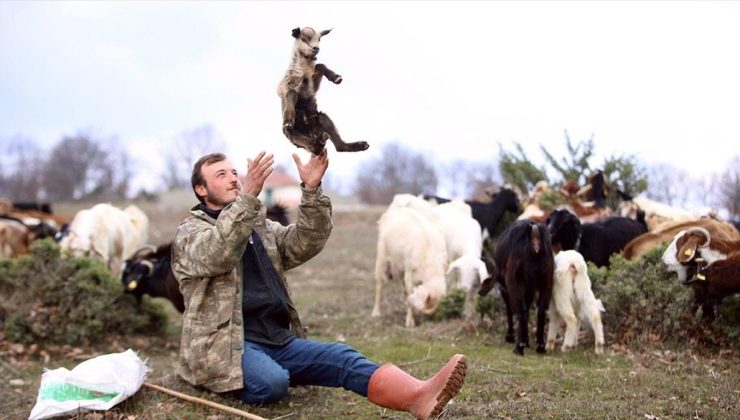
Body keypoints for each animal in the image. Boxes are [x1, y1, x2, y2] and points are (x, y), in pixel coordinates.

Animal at [278, 27, 370, 156]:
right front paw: (288, 121)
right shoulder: (287, 84)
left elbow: (320, 66)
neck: (305, 68)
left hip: (322, 119)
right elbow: (291, 93)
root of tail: (313, 134)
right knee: (313, 148)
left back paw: (359, 144)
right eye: (303, 38)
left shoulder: (312, 86)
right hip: (294, 136)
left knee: (338, 146)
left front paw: (337, 78)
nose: (316, 48)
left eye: (319, 39)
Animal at [476, 220, 552, 354]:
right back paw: (540, 346)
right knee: (541, 311)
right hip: (546, 282)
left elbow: (510, 309)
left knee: (520, 310)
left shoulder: (506, 288)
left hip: (515, 283)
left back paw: (518, 347)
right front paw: (526, 340)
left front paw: (511, 337)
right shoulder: (530, 289)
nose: (480, 291)